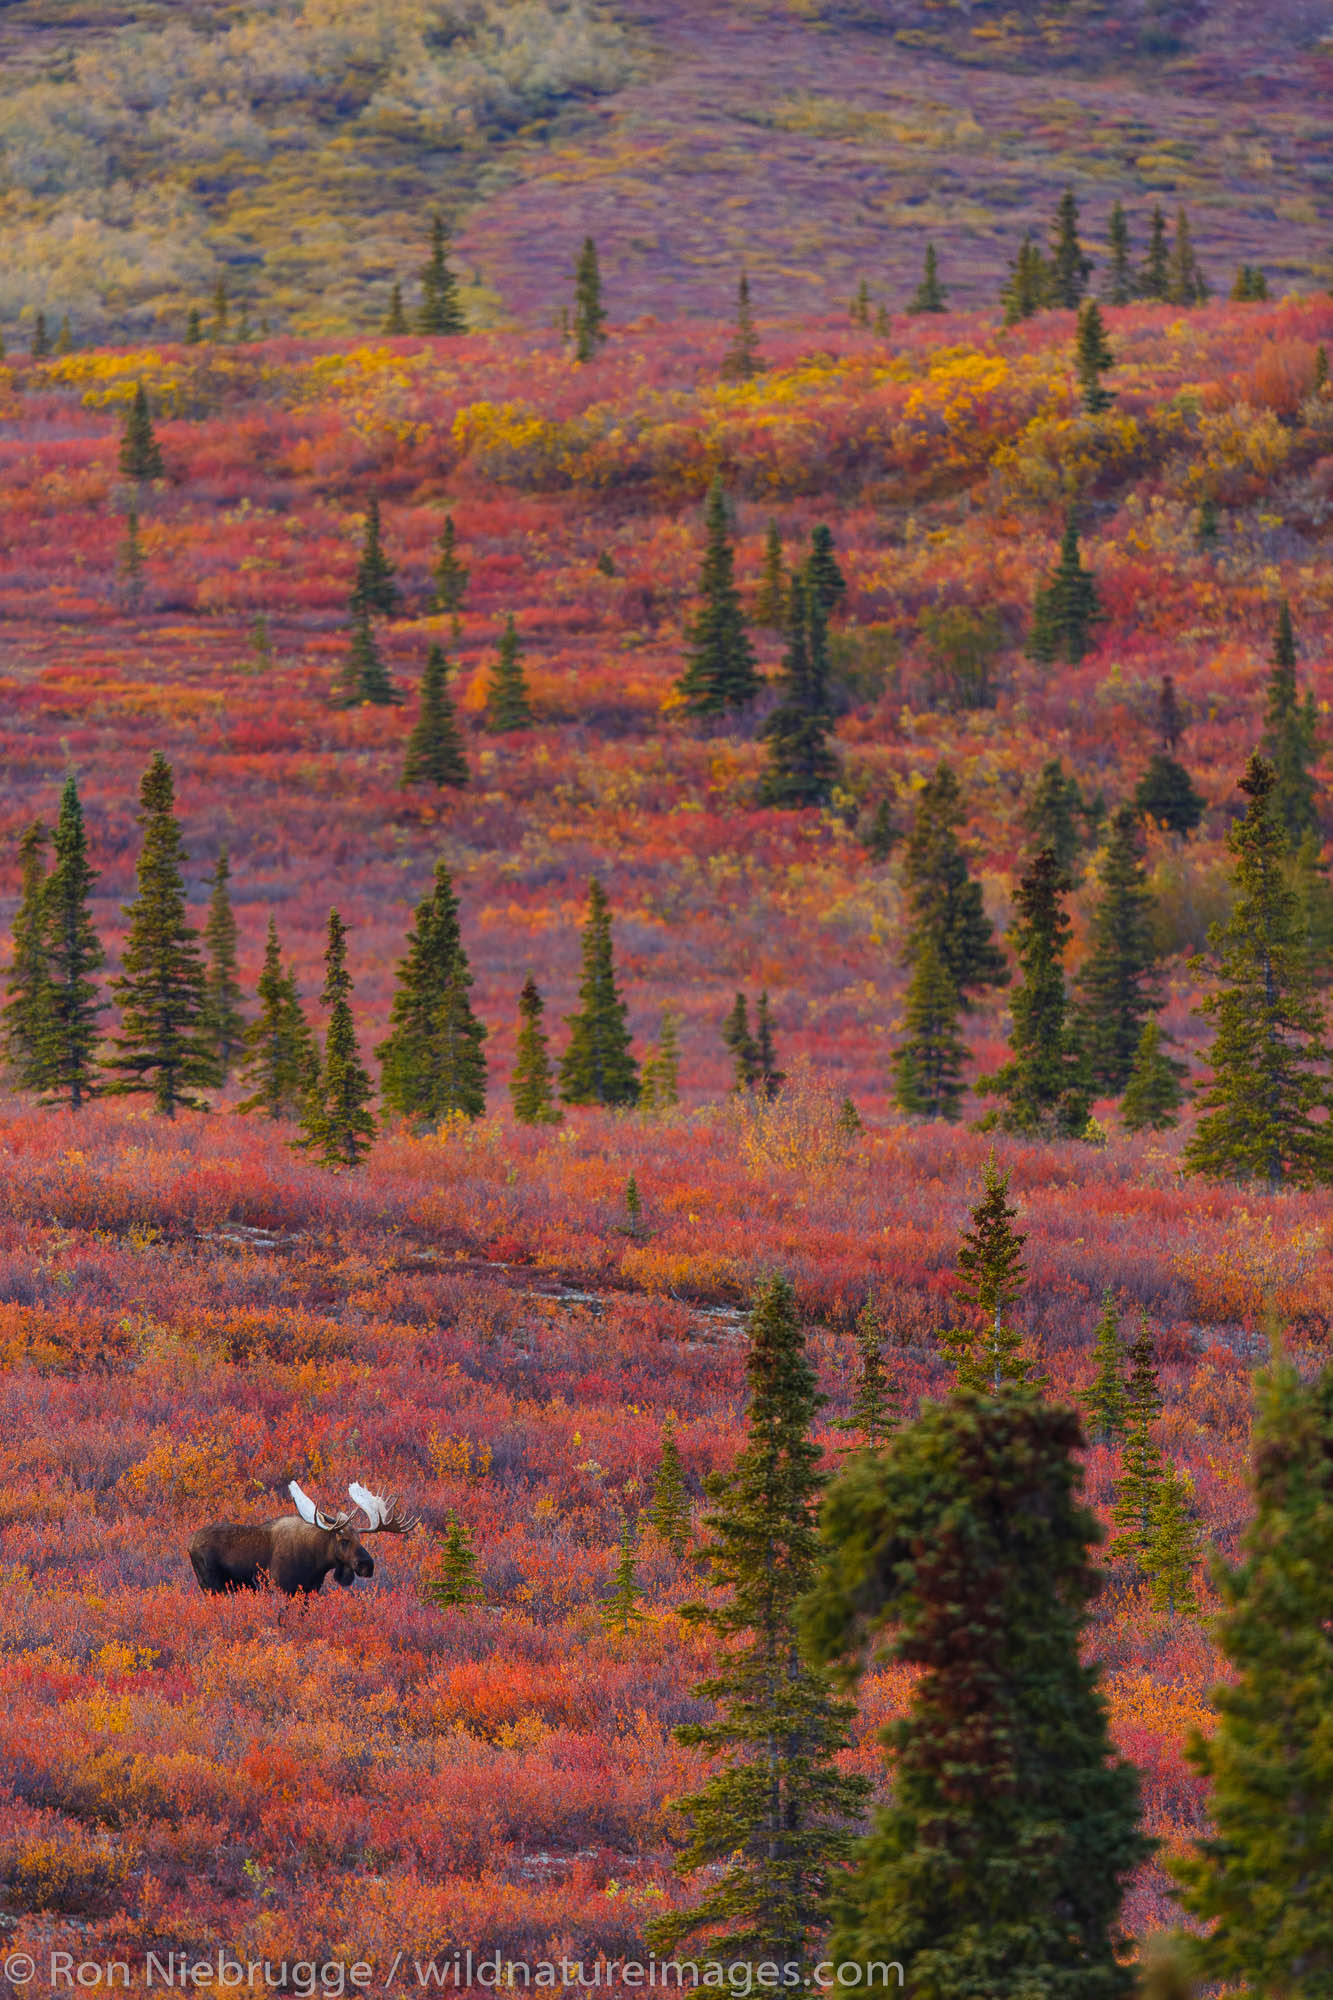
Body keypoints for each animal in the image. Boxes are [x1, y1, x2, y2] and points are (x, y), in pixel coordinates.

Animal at [188, 1488, 416, 1592]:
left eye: (361, 1539)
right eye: (343, 1540)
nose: (367, 1565)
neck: (318, 1563)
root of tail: (189, 1544)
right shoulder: (283, 1588)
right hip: (211, 1585)